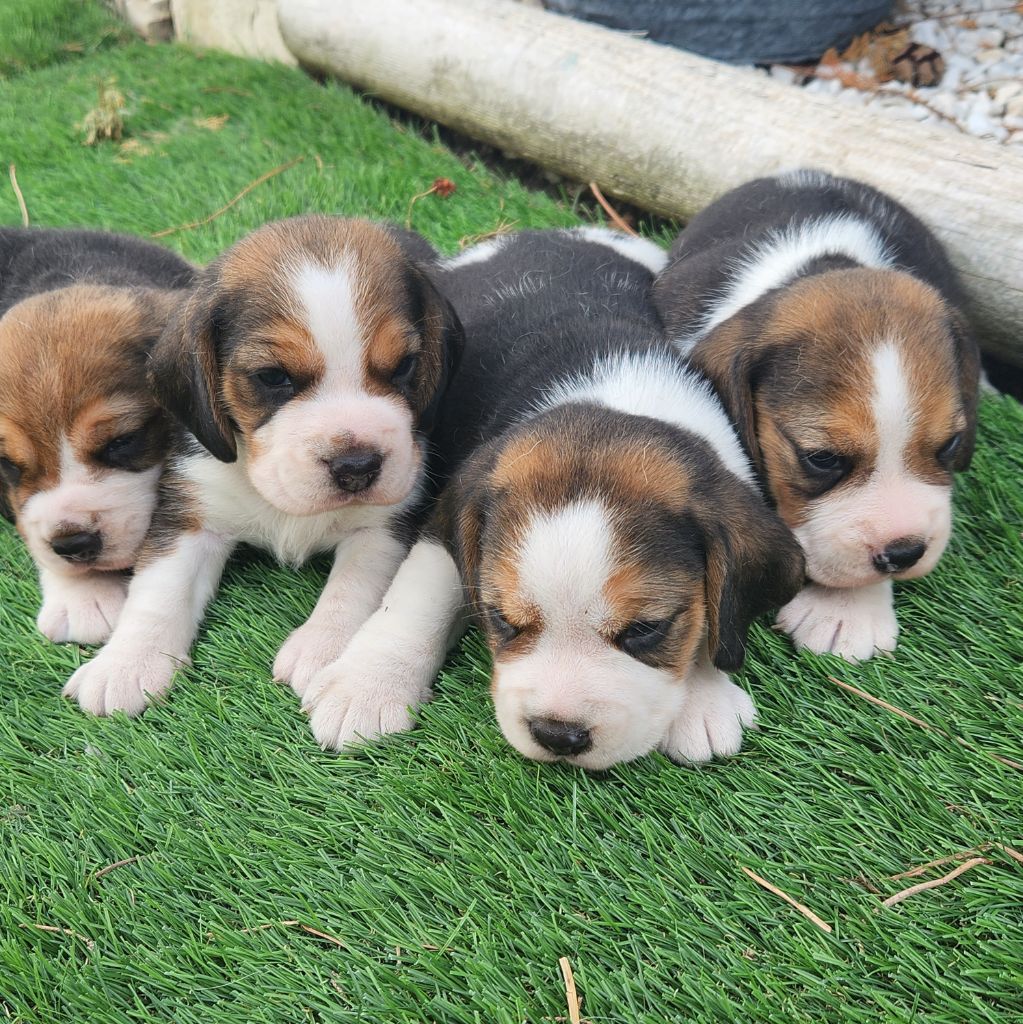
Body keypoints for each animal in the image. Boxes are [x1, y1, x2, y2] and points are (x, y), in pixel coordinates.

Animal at [61, 214, 462, 712]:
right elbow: (159, 589)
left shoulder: (385, 527)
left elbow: (354, 587)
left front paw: (323, 649)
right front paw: (125, 663)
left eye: (405, 365)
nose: (357, 466)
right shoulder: (190, 514)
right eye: (273, 377)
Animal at [303, 226, 806, 770]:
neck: (614, 401)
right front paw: (365, 687)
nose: (558, 735)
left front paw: (704, 697)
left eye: (644, 630)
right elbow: (414, 603)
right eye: (504, 620)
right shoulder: (446, 524)